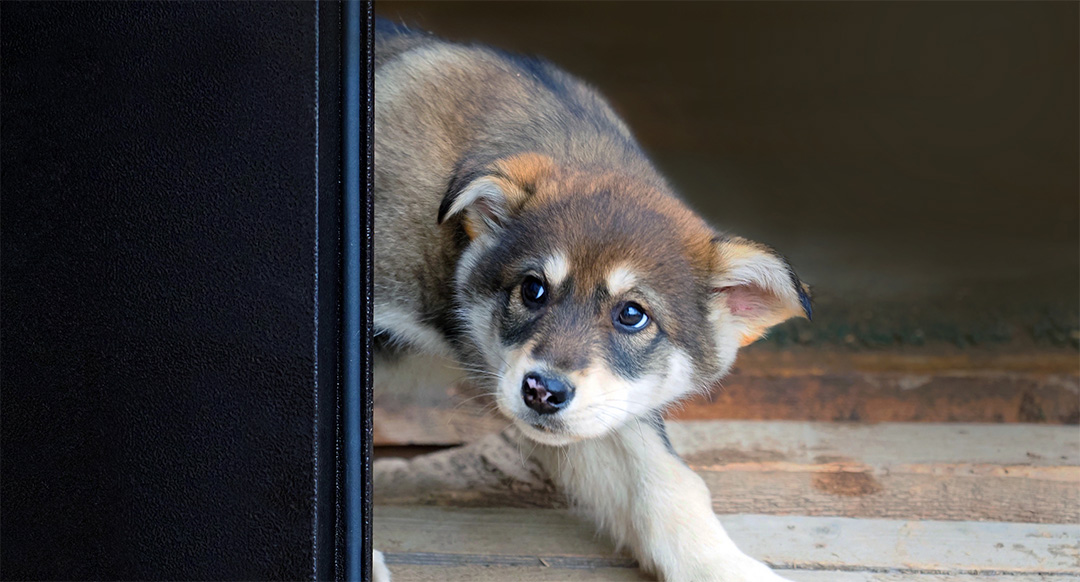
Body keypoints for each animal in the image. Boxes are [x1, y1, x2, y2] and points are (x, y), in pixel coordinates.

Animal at [373, 19, 812, 582]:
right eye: (532, 289)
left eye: (632, 315)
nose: (542, 392)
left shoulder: (606, 410)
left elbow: (664, 479)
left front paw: (720, 564)